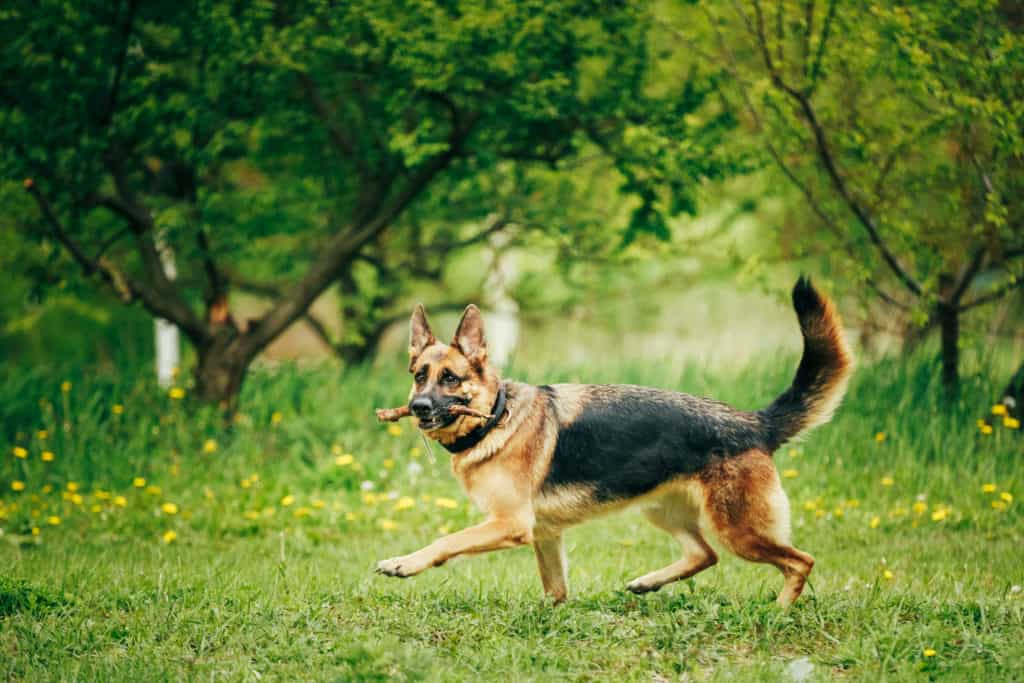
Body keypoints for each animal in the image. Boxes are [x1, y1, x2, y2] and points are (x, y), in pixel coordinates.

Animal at [376, 278, 856, 610]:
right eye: (419, 374)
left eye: (450, 378)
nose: (418, 407)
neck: (495, 418)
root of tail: (754, 423)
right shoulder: (544, 535)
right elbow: (555, 590)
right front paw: (552, 615)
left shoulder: (510, 524)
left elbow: (446, 542)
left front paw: (404, 563)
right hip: (662, 511)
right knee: (704, 554)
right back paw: (649, 582)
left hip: (740, 531)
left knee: (800, 561)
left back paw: (779, 611)